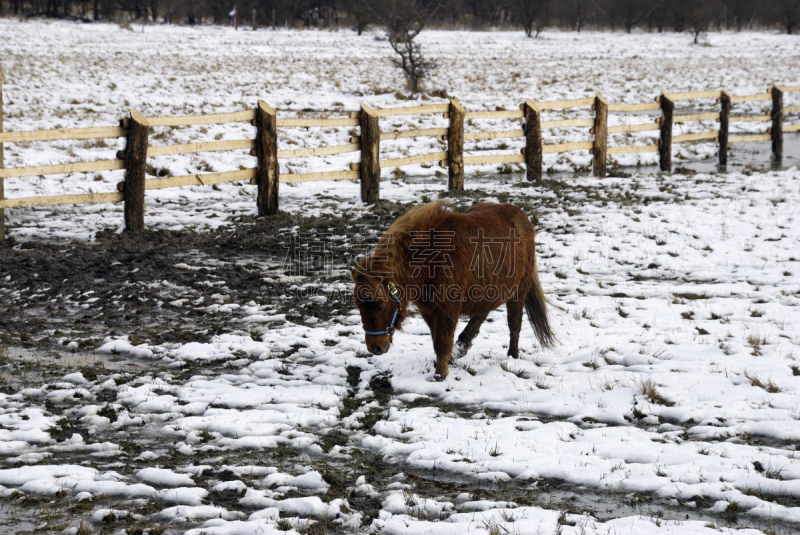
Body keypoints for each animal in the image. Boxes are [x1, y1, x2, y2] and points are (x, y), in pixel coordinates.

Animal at [354, 201, 552, 382]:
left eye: (379, 306)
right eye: (359, 306)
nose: (375, 348)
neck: (430, 260)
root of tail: (522, 217)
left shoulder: (447, 311)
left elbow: (442, 342)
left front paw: (440, 375)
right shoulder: (428, 311)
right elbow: (437, 340)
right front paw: (446, 361)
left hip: (518, 290)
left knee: (514, 323)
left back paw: (512, 355)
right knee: (482, 313)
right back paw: (462, 346)